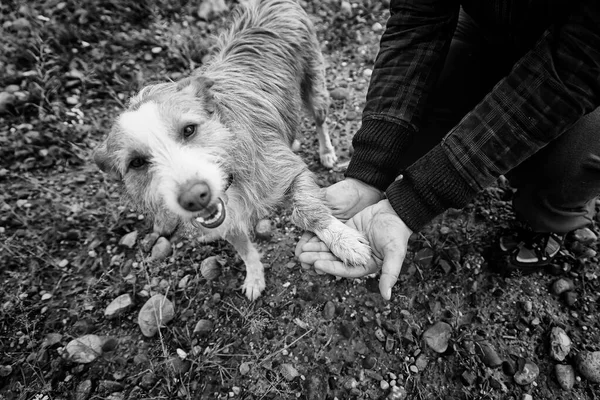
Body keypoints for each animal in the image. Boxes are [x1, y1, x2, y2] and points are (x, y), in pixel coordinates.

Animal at [93, 0, 370, 300]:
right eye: (137, 163)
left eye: (189, 129)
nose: (194, 197)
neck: (231, 172)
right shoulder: (224, 219)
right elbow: (244, 249)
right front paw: (255, 276)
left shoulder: (291, 171)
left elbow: (307, 210)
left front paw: (344, 241)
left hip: (315, 85)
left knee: (320, 120)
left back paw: (326, 151)